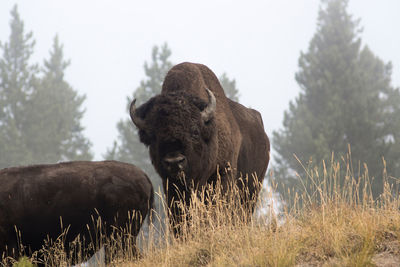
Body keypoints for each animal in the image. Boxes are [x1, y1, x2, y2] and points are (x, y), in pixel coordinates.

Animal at [130, 61, 270, 236]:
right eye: (153, 136)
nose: (174, 161)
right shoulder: (171, 186)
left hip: (253, 189)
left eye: (195, 132)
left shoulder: (223, 174)